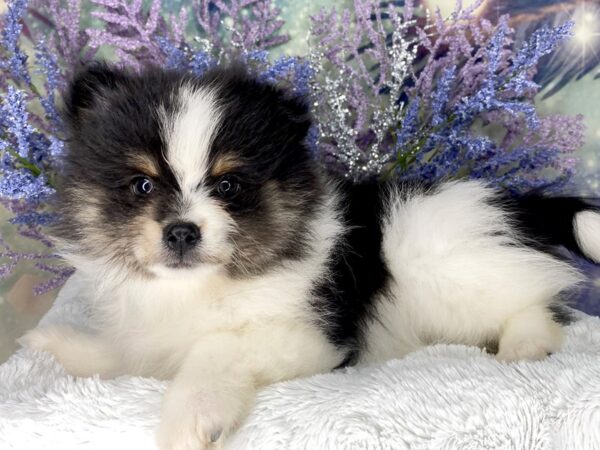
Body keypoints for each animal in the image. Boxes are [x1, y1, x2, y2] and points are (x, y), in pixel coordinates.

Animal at [21, 64, 600, 450]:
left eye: (228, 186)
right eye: (141, 185)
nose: (181, 231)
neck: (204, 286)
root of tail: (506, 201)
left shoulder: (312, 339)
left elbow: (216, 347)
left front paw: (192, 418)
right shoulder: (147, 333)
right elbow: (123, 354)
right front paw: (53, 343)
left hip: (447, 264)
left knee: (535, 299)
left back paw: (526, 343)